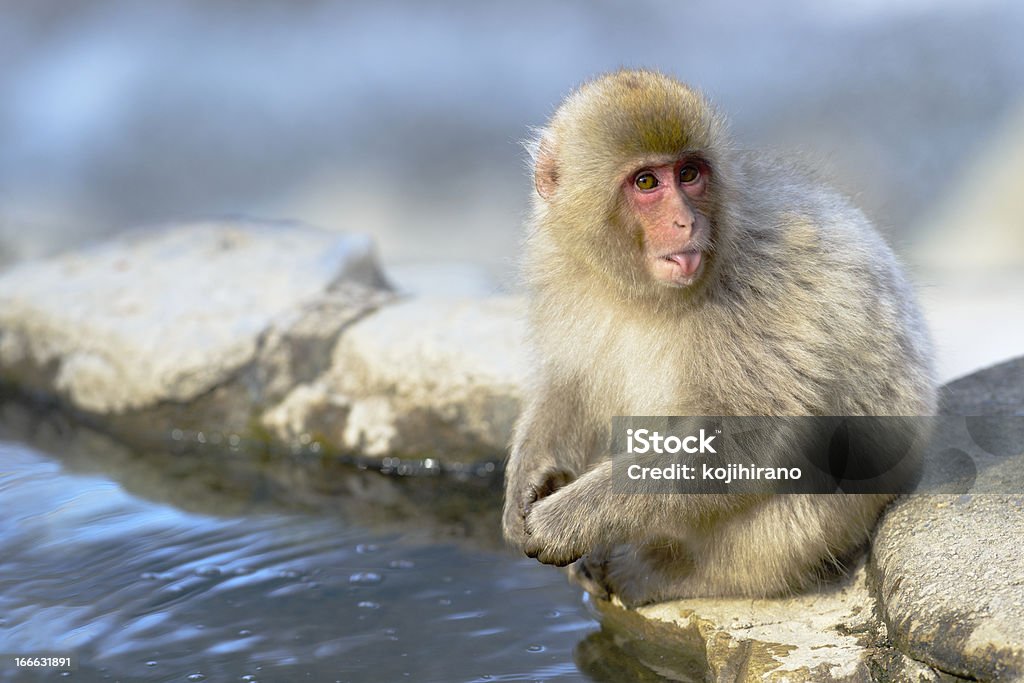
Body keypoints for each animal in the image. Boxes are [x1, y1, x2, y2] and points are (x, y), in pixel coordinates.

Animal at [501, 70, 937, 610]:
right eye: (647, 182)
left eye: (689, 173)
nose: (686, 221)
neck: (643, 294)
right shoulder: (559, 265)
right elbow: (568, 383)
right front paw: (527, 483)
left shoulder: (759, 285)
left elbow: (749, 433)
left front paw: (567, 519)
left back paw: (666, 571)